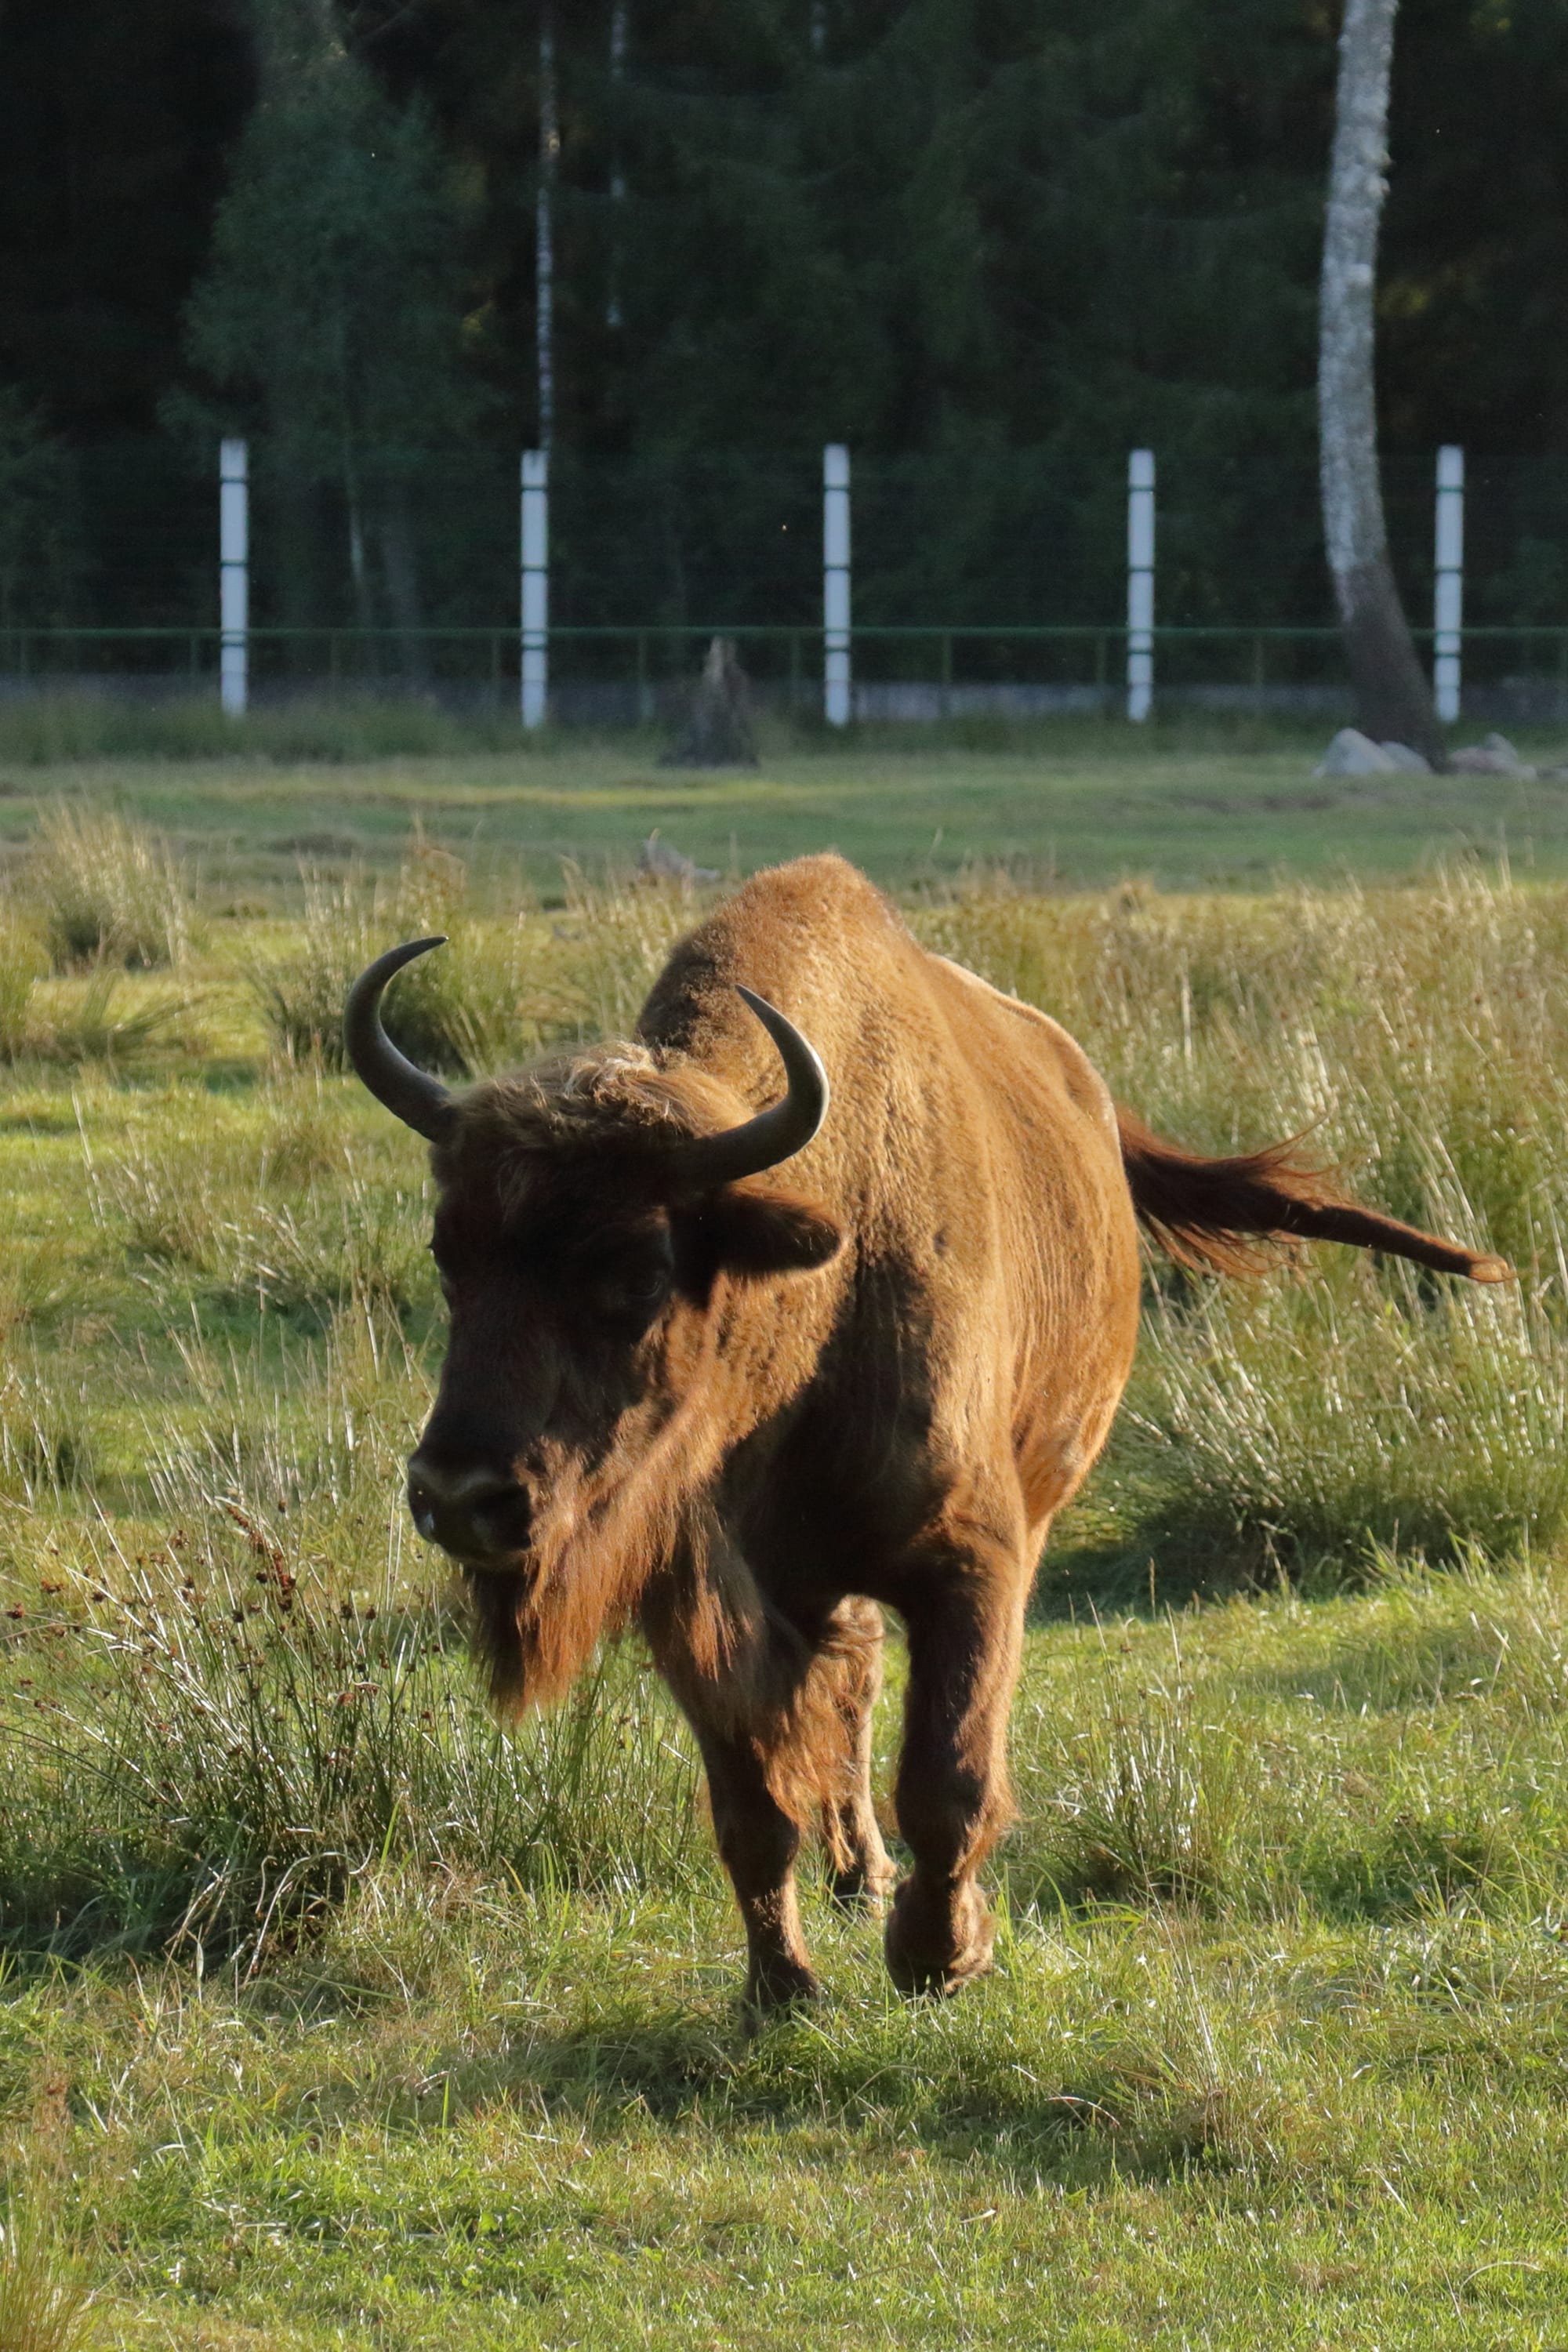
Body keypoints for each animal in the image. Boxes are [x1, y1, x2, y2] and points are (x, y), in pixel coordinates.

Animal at [345, 854, 1506, 2011]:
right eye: (451, 1250)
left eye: (636, 1269)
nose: (460, 1497)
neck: (811, 1292)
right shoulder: (696, 1598)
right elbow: (752, 1809)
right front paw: (783, 1988)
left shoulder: (974, 1561)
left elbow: (948, 1775)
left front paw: (941, 1956)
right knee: (846, 1690)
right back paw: (853, 1877)